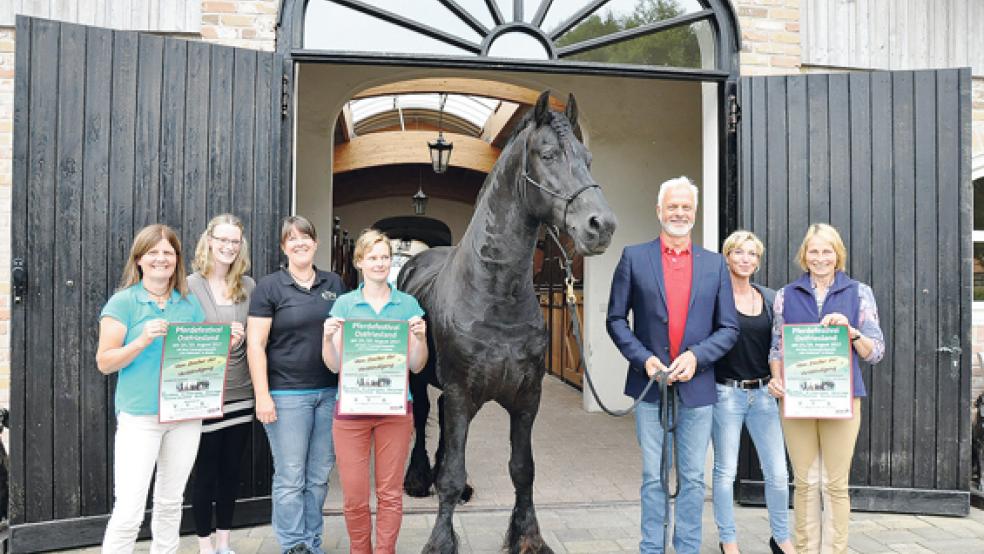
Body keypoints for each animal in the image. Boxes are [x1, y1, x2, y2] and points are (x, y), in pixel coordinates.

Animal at [398, 91, 616, 552]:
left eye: (588, 158)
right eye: (548, 154)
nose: (601, 226)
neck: (495, 296)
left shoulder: (526, 397)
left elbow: (523, 469)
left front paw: (528, 537)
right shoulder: (461, 392)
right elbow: (451, 473)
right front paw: (440, 540)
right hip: (421, 380)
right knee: (425, 416)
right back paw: (419, 478)